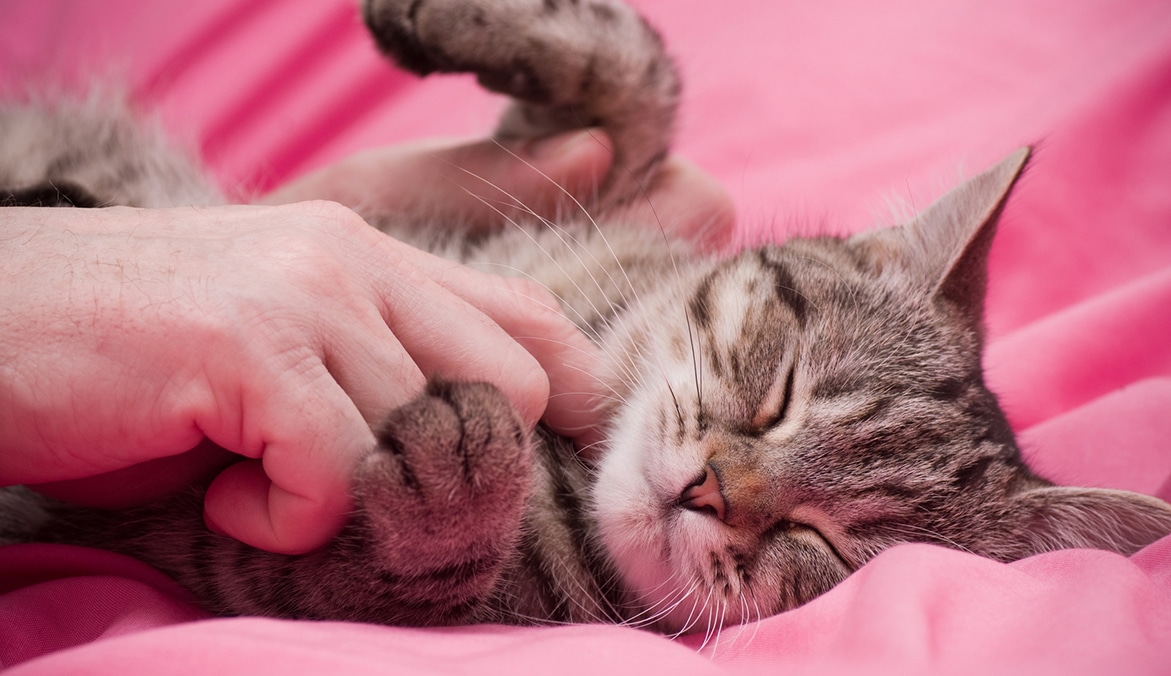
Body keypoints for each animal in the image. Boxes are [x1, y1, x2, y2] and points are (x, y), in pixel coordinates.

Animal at [2, 0, 1171, 637]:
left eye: (826, 544)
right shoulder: (553, 185)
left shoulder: (233, 555)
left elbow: (409, 565)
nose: (708, 492)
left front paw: (455, 476)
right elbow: (638, 87)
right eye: (781, 390)